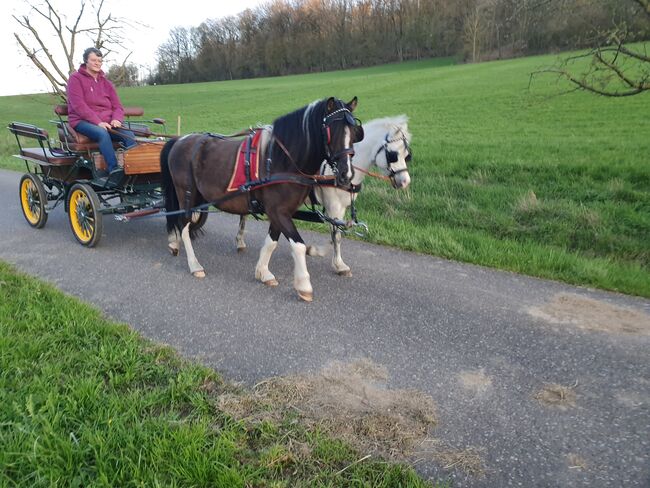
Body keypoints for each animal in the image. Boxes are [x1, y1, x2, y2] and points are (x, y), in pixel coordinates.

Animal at [159, 96, 362, 302]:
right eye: (331, 131)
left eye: (354, 132)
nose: (347, 174)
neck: (281, 160)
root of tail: (179, 140)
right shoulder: (278, 211)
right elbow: (298, 245)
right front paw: (304, 285)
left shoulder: (281, 212)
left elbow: (271, 242)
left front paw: (263, 272)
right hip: (186, 194)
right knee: (184, 225)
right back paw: (194, 265)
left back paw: (174, 243)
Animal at [235, 112, 410, 276]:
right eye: (393, 155)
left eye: (407, 155)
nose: (405, 182)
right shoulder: (334, 205)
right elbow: (336, 234)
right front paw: (338, 264)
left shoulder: (341, 207)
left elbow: (336, 232)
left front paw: (316, 251)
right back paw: (240, 240)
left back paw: (240, 241)